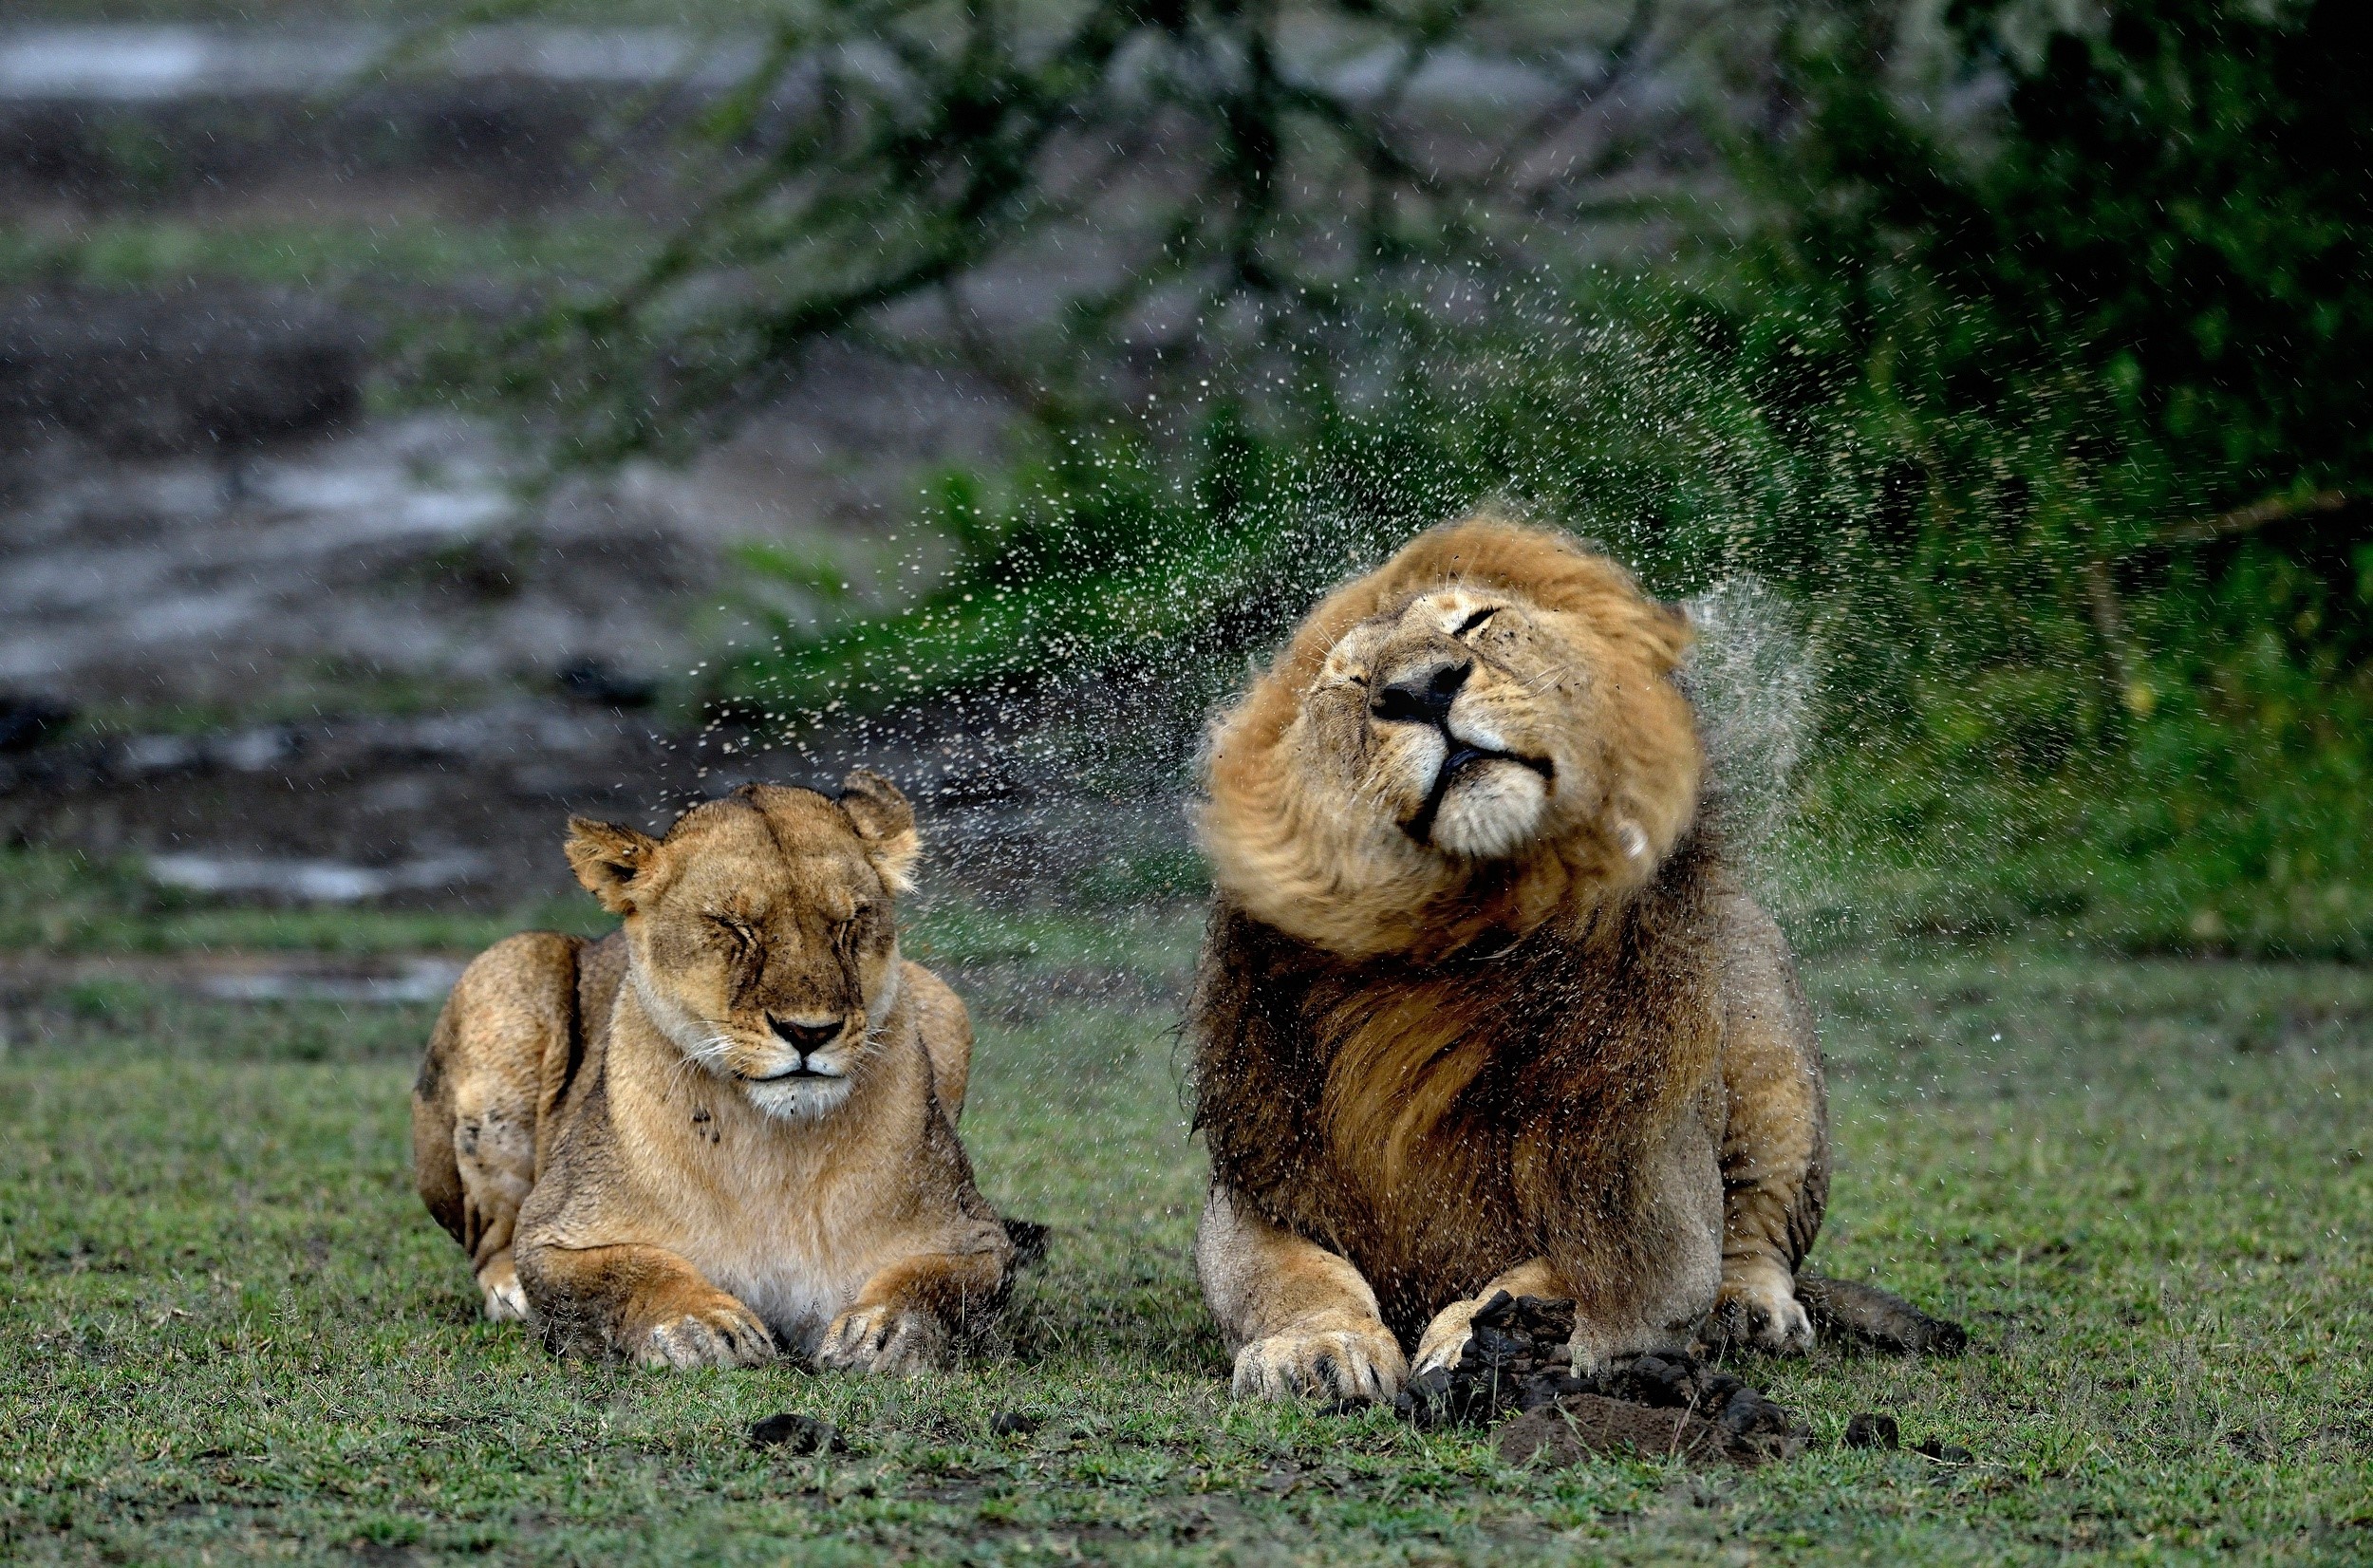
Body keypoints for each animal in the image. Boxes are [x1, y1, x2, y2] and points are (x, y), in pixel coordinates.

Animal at [410, 770, 1015, 1372]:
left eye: (849, 924)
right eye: (734, 926)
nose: (809, 1032)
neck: (777, 1156)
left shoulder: (977, 1237)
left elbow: (938, 1283)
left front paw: (883, 1332)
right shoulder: (555, 1232)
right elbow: (631, 1272)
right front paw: (700, 1325)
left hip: (941, 997)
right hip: (507, 971)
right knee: (489, 1240)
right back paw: (511, 1294)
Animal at [1189, 515, 1958, 1402]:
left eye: (1474, 623)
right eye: (1348, 684)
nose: (1420, 689)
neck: (1462, 954)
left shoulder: (1649, 1198)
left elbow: (1552, 1278)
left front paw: (1480, 1347)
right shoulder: (1260, 1182)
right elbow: (1290, 1276)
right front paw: (1316, 1349)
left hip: (1776, 1076)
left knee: (1758, 1235)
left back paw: (1750, 1312)